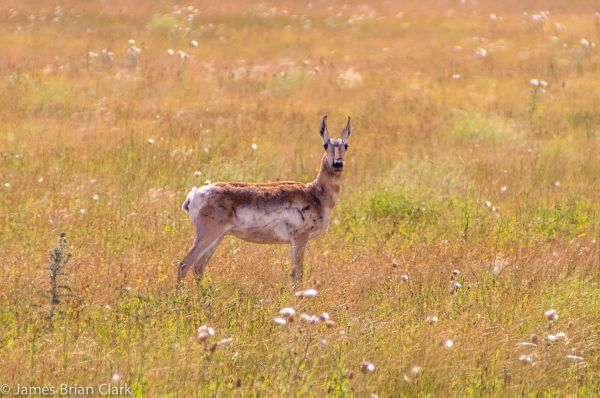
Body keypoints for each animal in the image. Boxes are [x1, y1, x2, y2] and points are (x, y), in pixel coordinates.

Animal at [176, 113, 352, 284]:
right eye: (325, 145)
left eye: (346, 146)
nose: (337, 163)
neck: (315, 193)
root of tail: (194, 195)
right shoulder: (300, 238)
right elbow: (297, 274)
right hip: (208, 234)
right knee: (184, 264)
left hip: (217, 237)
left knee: (198, 267)